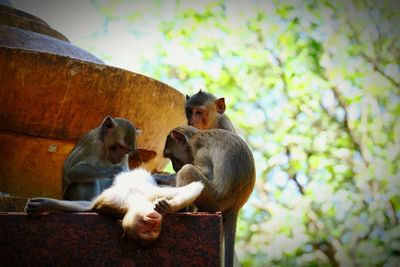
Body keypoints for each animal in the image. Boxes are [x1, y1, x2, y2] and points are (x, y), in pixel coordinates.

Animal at [26, 170, 205, 243]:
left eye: (154, 230)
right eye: (146, 231)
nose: (154, 223)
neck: (133, 200)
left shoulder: (150, 196)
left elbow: (195, 186)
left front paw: (168, 207)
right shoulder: (109, 202)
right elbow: (87, 206)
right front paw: (46, 205)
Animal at [154, 125, 256, 267]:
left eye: (171, 156)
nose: (174, 167)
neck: (193, 136)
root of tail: (236, 205)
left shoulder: (198, 148)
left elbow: (206, 173)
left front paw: (163, 178)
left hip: (213, 198)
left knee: (188, 170)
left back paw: (175, 208)